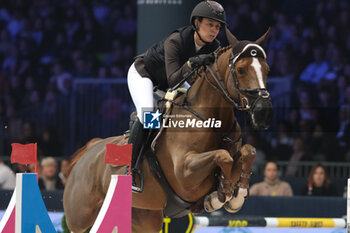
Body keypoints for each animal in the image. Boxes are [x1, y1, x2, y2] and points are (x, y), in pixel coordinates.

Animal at [64, 26, 274, 233]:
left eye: (267, 70)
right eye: (241, 70)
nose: (263, 112)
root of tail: (89, 151)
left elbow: (247, 151)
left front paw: (236, 195)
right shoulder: (184, 172)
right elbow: (223, 156)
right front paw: (220, 195)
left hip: (145, 218)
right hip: (80, 219)